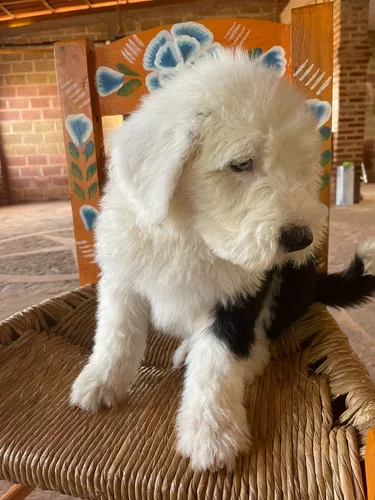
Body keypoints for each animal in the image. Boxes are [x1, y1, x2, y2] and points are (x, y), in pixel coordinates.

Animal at [72, 48, 375, 470]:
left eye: (300, 168)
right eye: (241, 164)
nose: (301, 238)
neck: (191, 235)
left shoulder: (241, 295)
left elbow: (218, 361)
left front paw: (212, 434)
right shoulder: (122, 276)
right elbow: (117, 333)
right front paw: (100, 381)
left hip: (287, 283)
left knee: (260, 338)